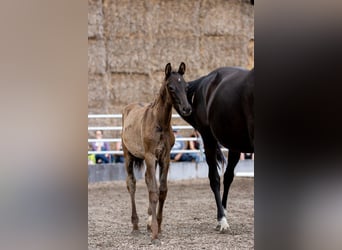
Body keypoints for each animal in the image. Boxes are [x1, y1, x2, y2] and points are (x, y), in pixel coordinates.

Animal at [121, 61, 191, 243]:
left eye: (186, 86)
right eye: (171, 87)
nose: (187, 109)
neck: (160, 123)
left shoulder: (165, 158)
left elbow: (162, 191)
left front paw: (157, 226)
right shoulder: (150, 156)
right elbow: (153, 191)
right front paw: (154, 232)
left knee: (146, 180)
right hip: (128, 155)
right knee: (131, 184)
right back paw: (135, 225)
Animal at [176, 66, 254, 232]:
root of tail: (206, 78)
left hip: (234, 145)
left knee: (228, 177)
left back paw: (223, 211)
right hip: (208, 139)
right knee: (215, 178)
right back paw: (222, 220)